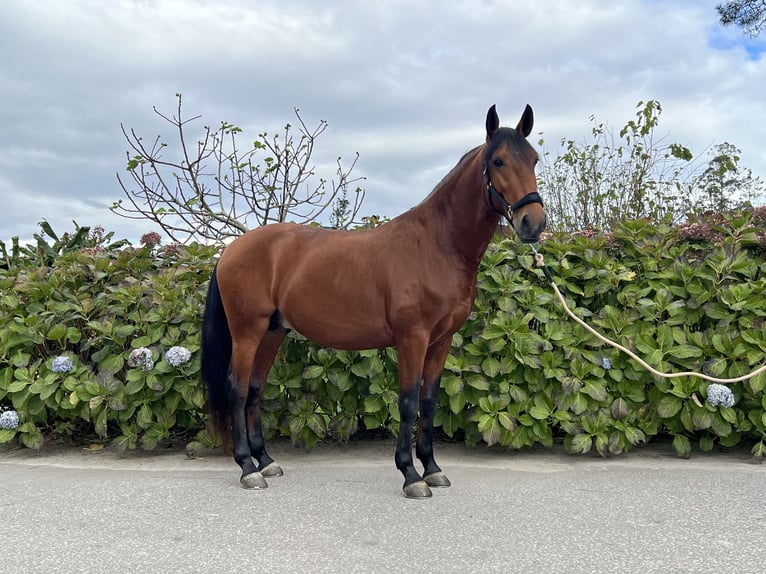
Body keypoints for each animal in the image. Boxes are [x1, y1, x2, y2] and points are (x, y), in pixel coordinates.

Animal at [198, 104, 544, 500]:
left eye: (534, 159)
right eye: (499, 161)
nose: (533, 223)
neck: (436, 245)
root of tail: (230, 250)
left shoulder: (441, 341)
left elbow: (429, 401)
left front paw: (433, 469)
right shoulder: (413, 338)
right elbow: (408, 403)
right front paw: (411, 475)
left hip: (272, 332)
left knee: (254, 390)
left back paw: (266, 462)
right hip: (247, 332)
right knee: (237, 390)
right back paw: (247, 468)